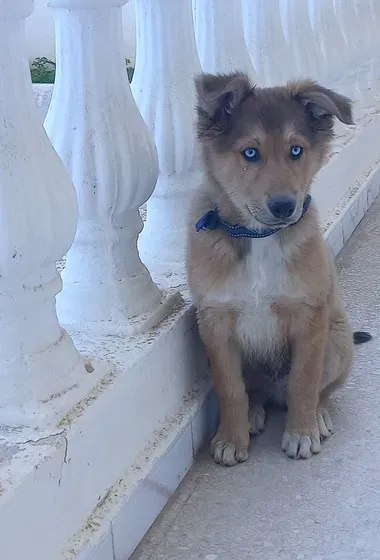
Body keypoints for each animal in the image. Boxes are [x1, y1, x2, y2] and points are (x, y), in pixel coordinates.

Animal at [187, 74, 372, 468]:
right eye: (250, 153)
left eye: (296, 151)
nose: (285, 206)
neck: (259, 238)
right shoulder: (215, 323)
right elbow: (230, 389)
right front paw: (232, 438)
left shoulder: (310, 318)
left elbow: (304, 381)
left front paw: (301, 433)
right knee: (254, 392)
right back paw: (254, 413)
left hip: (338, 338)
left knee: (319, 389)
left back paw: (317, 415)